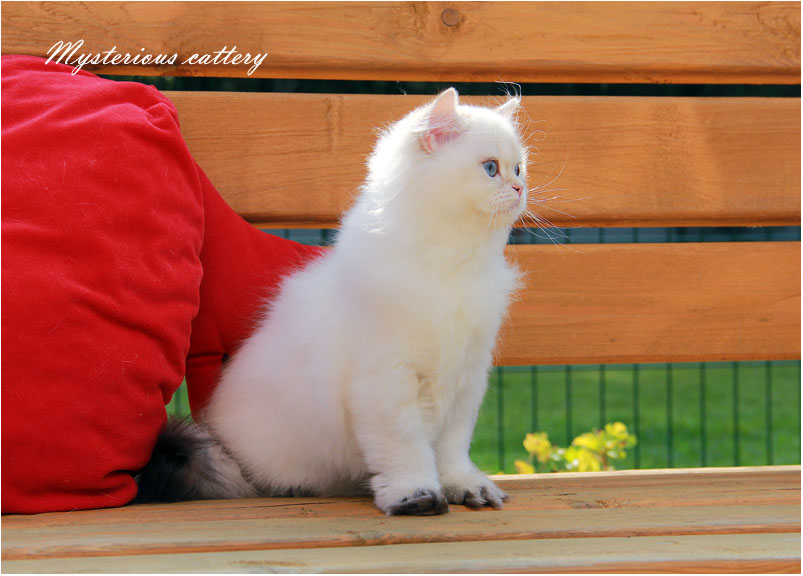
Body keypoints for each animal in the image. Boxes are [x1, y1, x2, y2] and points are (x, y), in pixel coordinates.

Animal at [136, 88, 528, 515]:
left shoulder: (465, 379)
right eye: (490, 168)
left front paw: (467, 487)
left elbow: (452, 451)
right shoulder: (387, 381)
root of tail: (224, 444)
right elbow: (406, 451)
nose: (520, 189)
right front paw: (416, 496)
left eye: (518, 169)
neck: (452, 262)